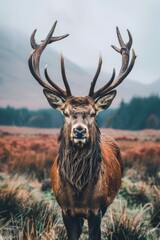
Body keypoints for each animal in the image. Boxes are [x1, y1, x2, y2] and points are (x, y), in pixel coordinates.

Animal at [28, 21, 136, 239]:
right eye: (66, 113)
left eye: (93, 113)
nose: (79, 131)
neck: (79, 195)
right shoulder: (66, 210)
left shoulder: (97, 209)